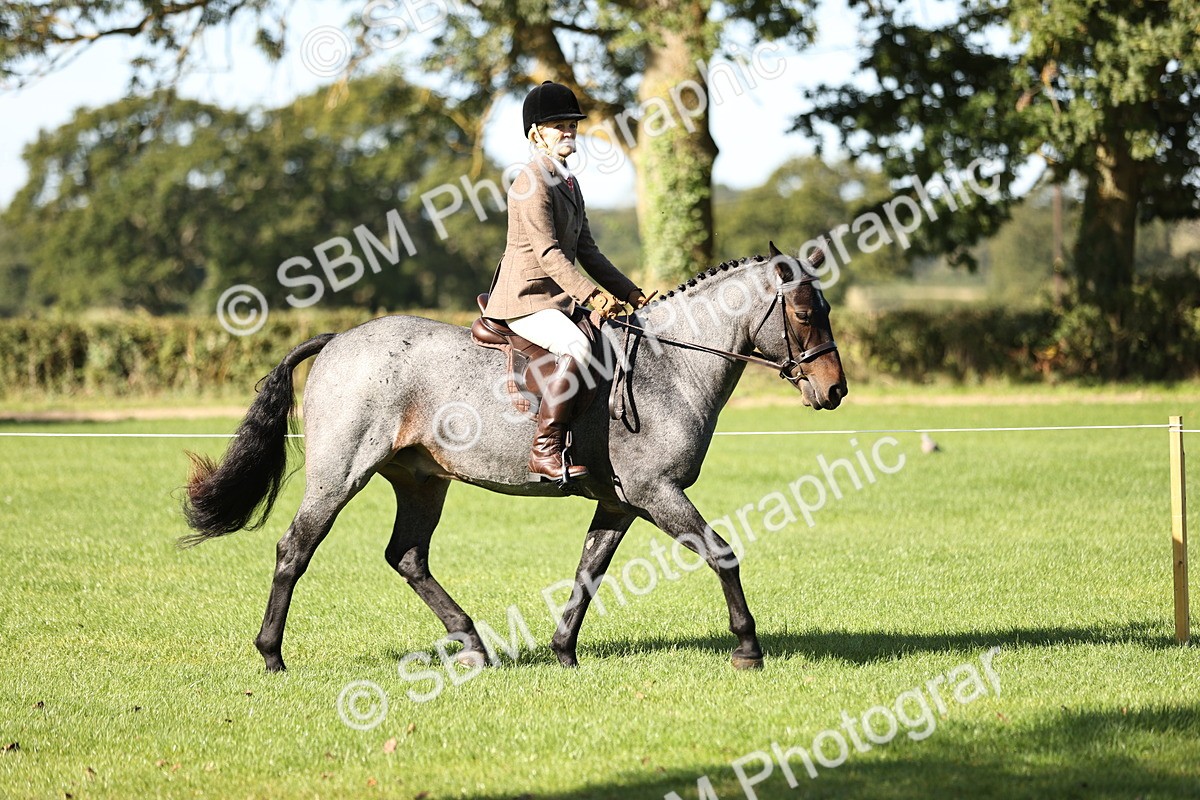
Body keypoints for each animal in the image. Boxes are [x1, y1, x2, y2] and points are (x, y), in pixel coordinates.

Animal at [181, 243, 847, 672]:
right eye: (805, 313)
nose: (834, 390)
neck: (669, 366)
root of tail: (338, 339)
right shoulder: (657, 492)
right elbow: (721, 554)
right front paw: (748, 649)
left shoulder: (621, 502)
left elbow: (588, 572)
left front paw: (563, 652)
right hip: (340, 474)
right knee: (295, 549)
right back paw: (272, 655)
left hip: (422, 480)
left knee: (408, 557)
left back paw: (474, 645)